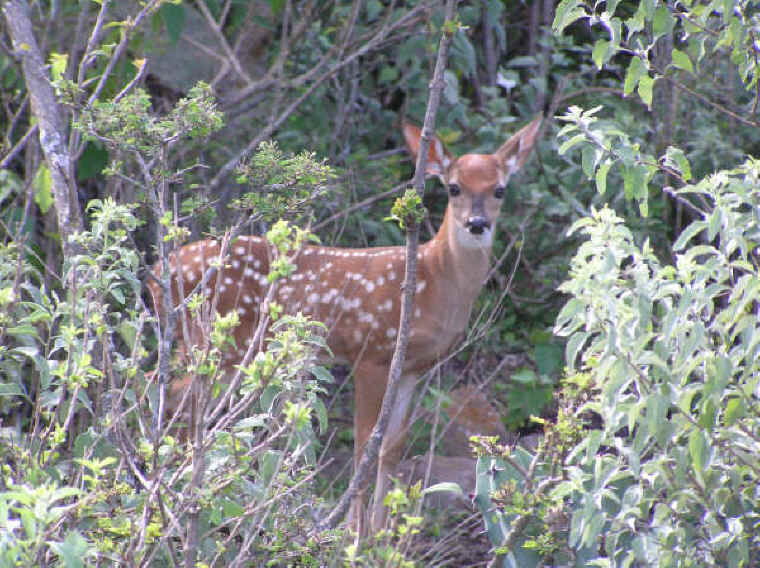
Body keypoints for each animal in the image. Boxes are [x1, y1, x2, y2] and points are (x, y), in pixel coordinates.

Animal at [148, 115, 542, 534]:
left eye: (499, 189)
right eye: (454, 188)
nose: (477, 223)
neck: (434, 280)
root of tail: (157, 273)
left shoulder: (412, 368)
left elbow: (391, 448)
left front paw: (381, 534)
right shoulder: (370, 352)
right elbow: (363, 443)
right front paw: (354, 533)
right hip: (219, 341)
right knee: (173, 396)